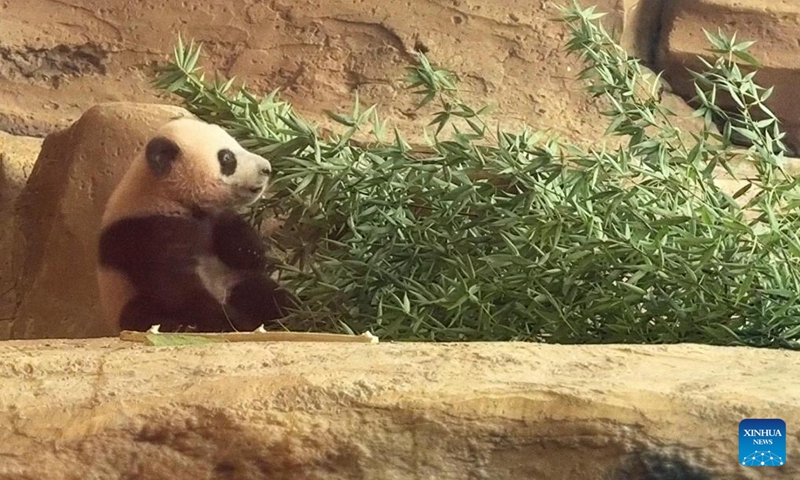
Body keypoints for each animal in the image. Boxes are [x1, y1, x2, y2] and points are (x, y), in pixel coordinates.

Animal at [97, 116, 296, 333]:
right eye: (227, 158)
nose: (267, 168)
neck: (167, 195)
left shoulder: (211, 218)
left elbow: (233, 234)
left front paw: (253, 252)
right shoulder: (146, 231)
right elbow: (177, 288)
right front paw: (236, 323)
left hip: (232, 281)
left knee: (263, 291)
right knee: (140, 312)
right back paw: (179, 326)